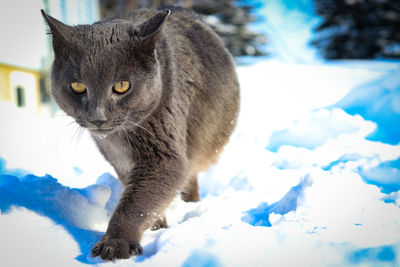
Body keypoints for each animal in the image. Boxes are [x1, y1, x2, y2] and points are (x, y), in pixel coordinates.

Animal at [41, 6, 239, 262]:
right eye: (77, 87)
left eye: (121, 86)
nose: (97, 117)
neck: (118, 139)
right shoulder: (119, 159)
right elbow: (139, 194)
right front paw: (156, 226)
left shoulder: (163, 154)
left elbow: (139, 200)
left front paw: (116, 243)